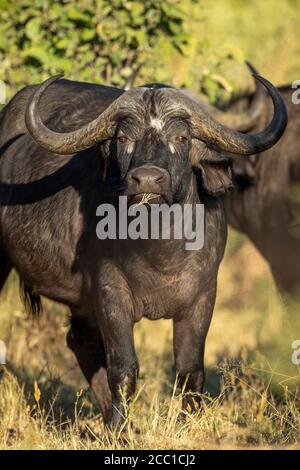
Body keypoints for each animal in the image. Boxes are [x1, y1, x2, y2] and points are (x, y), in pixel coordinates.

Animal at [0, 72, 286, 430]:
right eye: (123, 138)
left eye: (181, 136)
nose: (148, 179)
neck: (159, 249)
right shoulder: (111, 293)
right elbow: (124, 369)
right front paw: (119, 430)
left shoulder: (204, 294)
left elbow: (190, 370)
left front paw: (186, 421)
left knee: (80, 341)